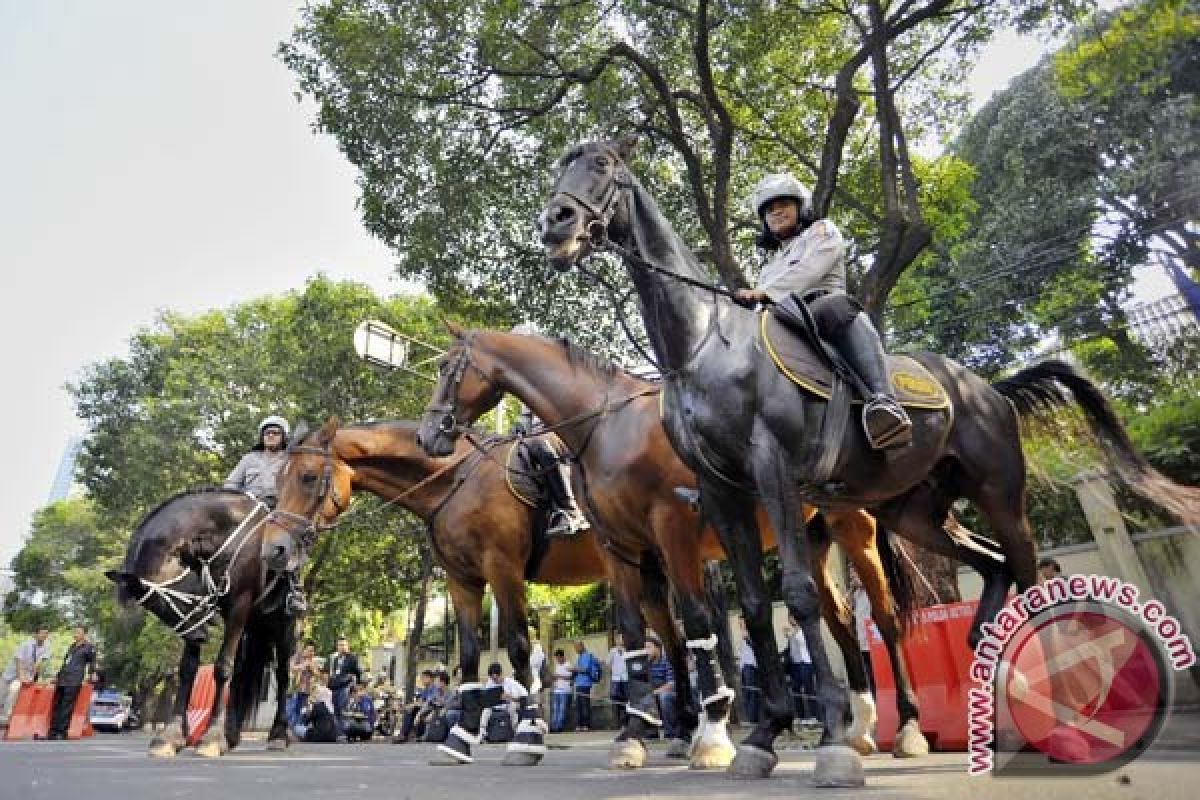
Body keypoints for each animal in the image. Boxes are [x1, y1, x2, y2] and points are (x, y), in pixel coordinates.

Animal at [108, 489, 295, 758]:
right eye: (156, 609)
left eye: (163, 601)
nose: (200, 637)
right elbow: (187, 669)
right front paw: (172, 735)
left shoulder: (239, 606)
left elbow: (222, 668)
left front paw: (211, 737)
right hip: (251, 627)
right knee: (241, 672)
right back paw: (231, 735)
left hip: (283, 627)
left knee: (282, 675)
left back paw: (278, 734)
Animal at [412, 328, 926, 772]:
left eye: (444, 366)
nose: (428, 434)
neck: (608, 427)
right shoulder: (618, 547)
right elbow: (635, 634)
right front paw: (634, 738)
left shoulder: (669, 529)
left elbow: (696, 625)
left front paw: (712, 733)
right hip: (809, 537)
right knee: (839, 618)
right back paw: (855, 726)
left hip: (853, 528)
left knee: (882, 618)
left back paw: (906, 728)